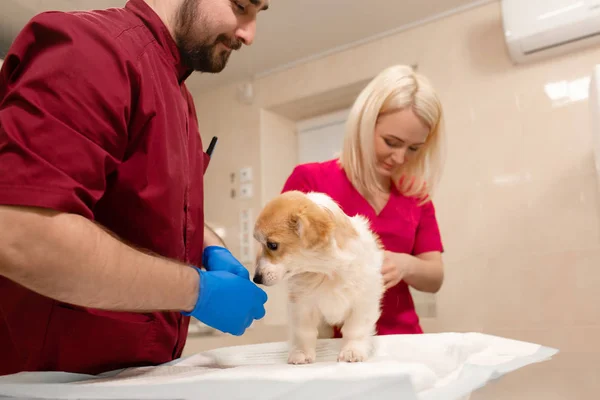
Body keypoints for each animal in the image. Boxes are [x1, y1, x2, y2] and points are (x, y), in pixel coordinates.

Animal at [252, 191, 384, 366]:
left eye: (272, 245)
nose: (256, 279)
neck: (326, 272)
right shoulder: (301, 304)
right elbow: (303, 332)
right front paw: (301, 353)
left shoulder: (363, 300)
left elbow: (355, 329)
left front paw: (352, 351)